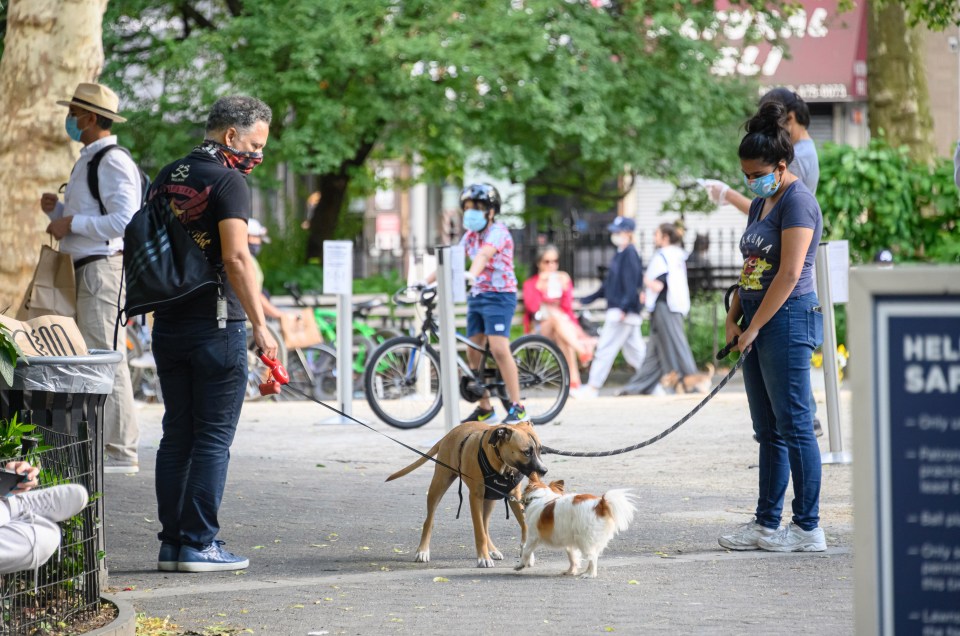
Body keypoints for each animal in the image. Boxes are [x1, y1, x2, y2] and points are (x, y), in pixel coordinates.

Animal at [384, 422, 548, 568]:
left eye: (540, 450)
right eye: (527, 452)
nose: (544, 470)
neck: (501, 463)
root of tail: (448, 434)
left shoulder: (515, 497)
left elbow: (524, 525)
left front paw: (527, 554)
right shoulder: (475, 497)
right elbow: (479, 532)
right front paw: (483, 558)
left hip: (490, 499)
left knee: (485, 525)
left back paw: (492, 550)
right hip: (438, 485)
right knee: (429, 521)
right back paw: (423, 551)